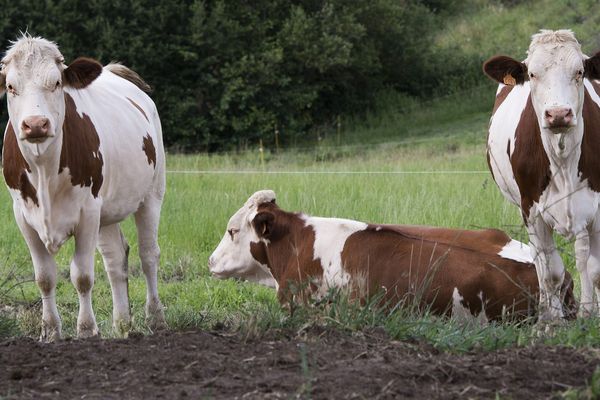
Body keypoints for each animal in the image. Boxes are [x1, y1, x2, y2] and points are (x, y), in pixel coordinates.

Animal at [0, 35, 166, 340]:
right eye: (10, 86)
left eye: (56, 83)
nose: (35, 124)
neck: (44, 169)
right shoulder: (23, 217)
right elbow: (44, 277)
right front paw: (50, 331)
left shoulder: (87, 212)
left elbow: (82, 276)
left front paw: (87, 329)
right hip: (107, 212)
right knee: (115, 259)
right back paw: (122, 323)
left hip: (152, 194)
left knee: (148, 255)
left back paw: (155, 318)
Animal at [482, 29, 600, 320]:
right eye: (533, 74)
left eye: (579, 72)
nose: (558, 114)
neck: (563, 157)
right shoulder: (531, 211)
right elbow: (550, 273)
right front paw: (552, 322)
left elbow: (594, 270)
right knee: (540, 261)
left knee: (582, 256)